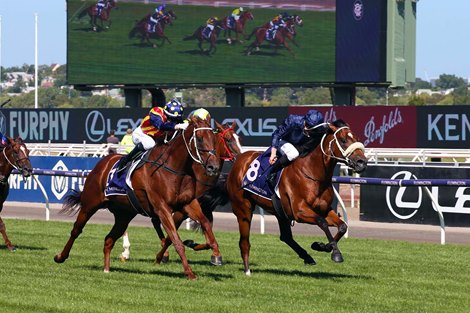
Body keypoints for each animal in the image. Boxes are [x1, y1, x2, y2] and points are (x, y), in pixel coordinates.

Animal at [52, 116, 221, 278]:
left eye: (214, 138)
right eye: (199, 138)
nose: (214, 167)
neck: (174, 169)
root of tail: (103, 163)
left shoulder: (188, 203)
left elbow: (206, 224)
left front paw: (214, 254)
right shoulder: (162, 208)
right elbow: (176, 240)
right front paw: (189, 272)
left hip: (124, 214)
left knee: (109, 239)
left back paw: (107, 269)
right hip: (90, 204)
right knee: (76, 230)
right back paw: (60, 256)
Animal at [202, 119, 368, 272]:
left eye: (356, 138)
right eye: (343, 140)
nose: (362, 162)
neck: (312, 173)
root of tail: (238, 161)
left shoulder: (324, 209)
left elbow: (343, 226)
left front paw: (322, 246)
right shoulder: (300, 211)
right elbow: (322, 222)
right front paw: (335, 253)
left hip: (280, 212)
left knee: (286, 236)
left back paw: (307, 256)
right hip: (243, 208)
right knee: (244, 240)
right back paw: (247, 269)